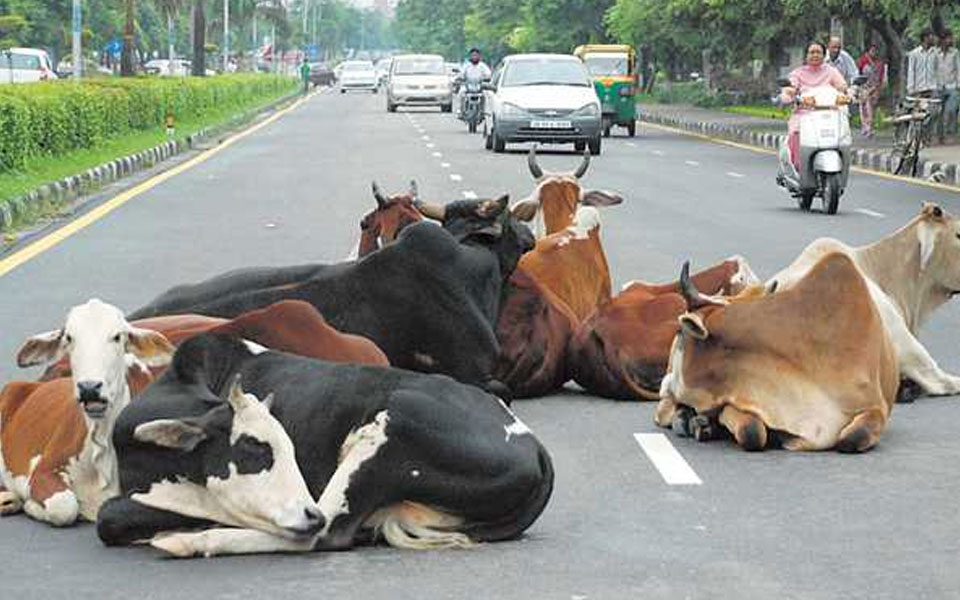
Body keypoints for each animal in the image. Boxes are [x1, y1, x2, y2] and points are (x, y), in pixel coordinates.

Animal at [0, 299, 174, 526]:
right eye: (69, 338)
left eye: (117, 336)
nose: (89, 387)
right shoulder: (44, 470)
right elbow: (64, 507)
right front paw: (31, 505)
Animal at [96, 333, 555, 557]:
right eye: (254, 451)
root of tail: (535, 446)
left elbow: (111, 515)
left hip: (388, 432)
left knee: (324, 533)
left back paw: (189, 541)